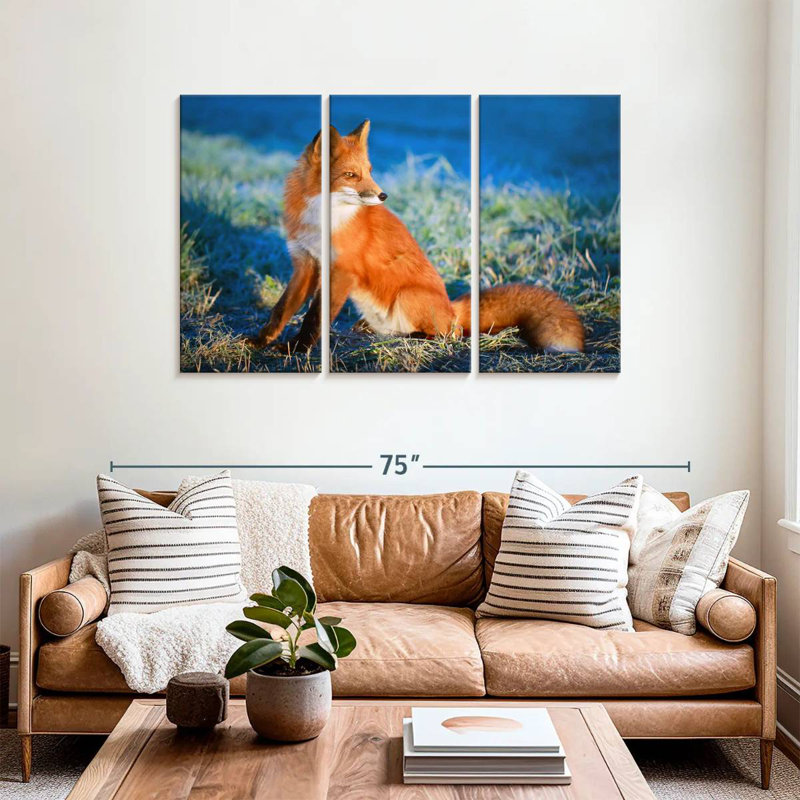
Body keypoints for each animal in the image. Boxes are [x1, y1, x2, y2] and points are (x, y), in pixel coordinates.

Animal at [248, 120, 584, 354]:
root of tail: (452, 308)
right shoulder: (306, 263)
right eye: (351, 175)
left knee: (450, 334)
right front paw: (260, 341)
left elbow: (314, 318)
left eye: (370, 170)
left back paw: (414, 337)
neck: (321, 219)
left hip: (406, 295)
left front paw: (297, 350)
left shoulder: (342, 271)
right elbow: (281, 310)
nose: (383, 195)